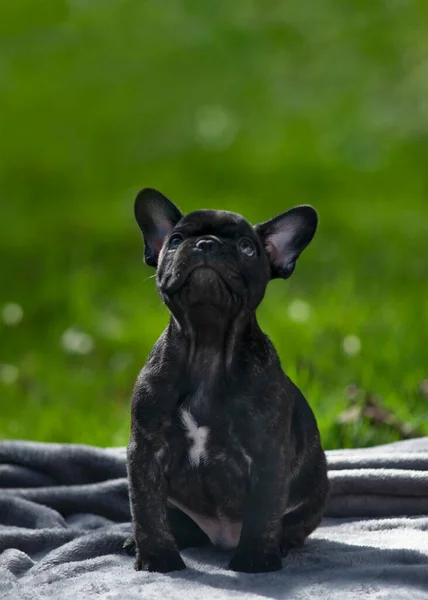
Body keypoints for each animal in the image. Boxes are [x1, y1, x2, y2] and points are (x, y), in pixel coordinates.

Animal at [125, 188, 330, 572]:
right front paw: (158, 557)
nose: (206, 243)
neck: (208, 343)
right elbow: (146, 509)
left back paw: (280, 545)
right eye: (176, 240)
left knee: (292, 525)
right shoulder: (146, 450)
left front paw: (255, 559)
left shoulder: (268, 454)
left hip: (316, 493)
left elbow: (264, 511)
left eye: (248, 247)